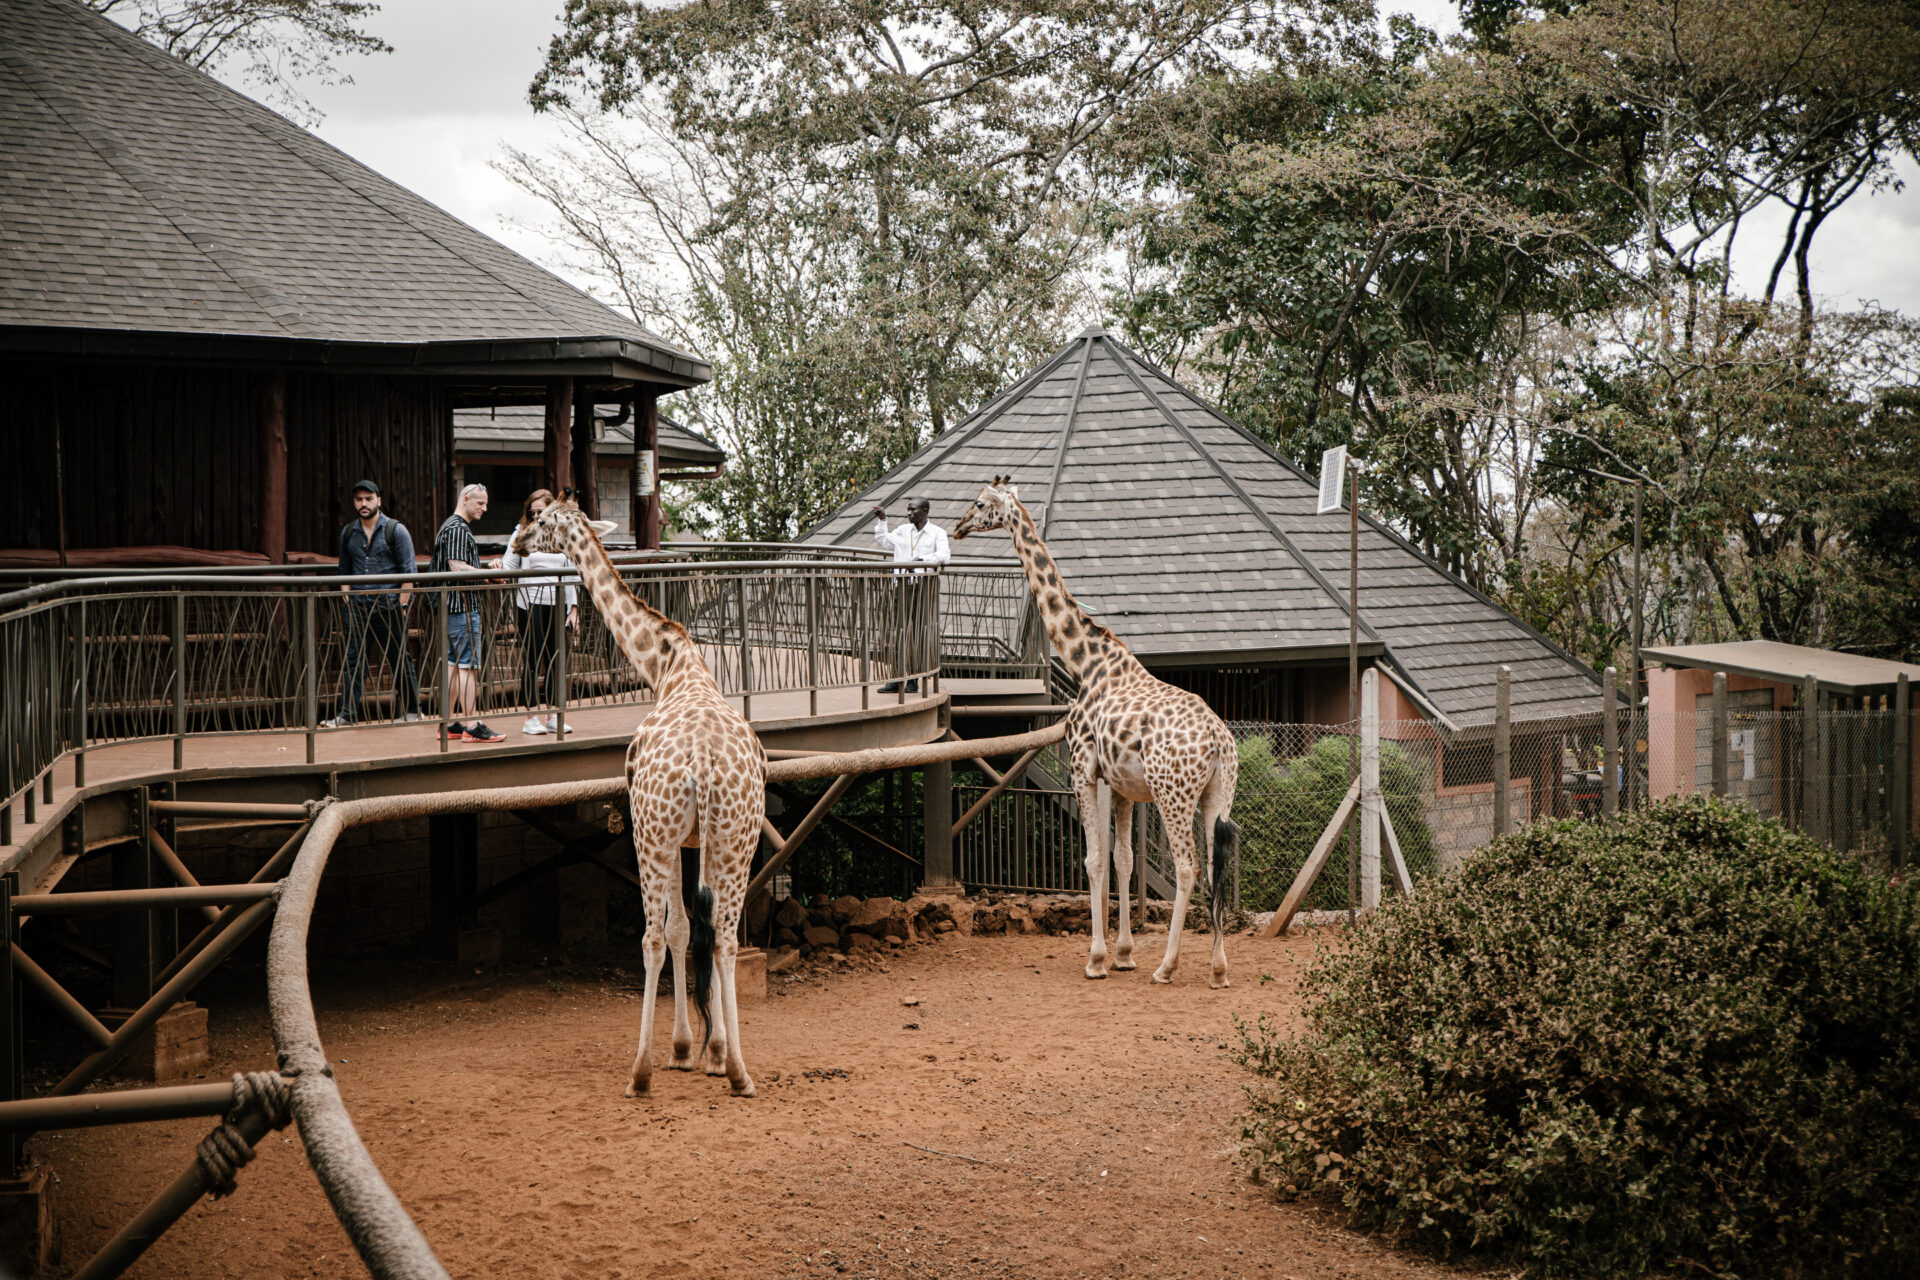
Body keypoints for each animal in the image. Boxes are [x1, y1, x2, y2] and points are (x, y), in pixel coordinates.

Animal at [526, 495, 771, 1097]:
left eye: (539, 520)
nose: (514, 543)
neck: (666, 663)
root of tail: (702, 762)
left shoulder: (671, 838)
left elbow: (676, 930)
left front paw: (683, 1049)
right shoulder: (699, 841)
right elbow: (696, 929)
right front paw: (711, 1052)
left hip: (649, 836)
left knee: (651, 939)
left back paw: (640, 1073)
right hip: (738, 839)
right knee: (726, 939)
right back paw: (739, 1072)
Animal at [948, 475, 1244, 990]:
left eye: (981, 503)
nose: (959, 526)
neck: (1085, 662)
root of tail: (1219, 743)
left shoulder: (1082, 770)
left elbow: (1092, 860)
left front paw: (1096, 959)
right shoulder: (1123, 786)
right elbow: (1123, 859)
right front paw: (1123, 954)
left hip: (1172, 793)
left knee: (1187, 867)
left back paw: (1167, 967)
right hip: (1216, 795)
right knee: (1215, 865)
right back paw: (1218, 969)